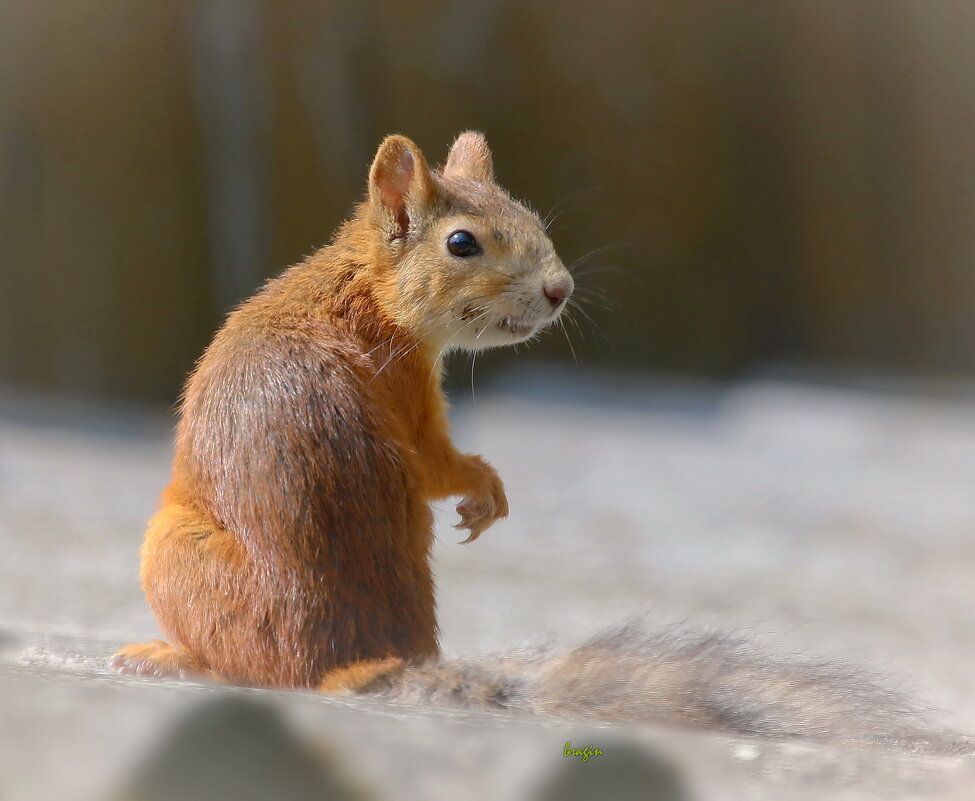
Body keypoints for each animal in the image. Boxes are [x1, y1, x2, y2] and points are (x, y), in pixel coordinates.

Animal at [114, 133, 936, 744]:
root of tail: (359, 659)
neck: (360, 293)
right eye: (461, 242)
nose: (559, 290)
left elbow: (435, 462)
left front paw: (484, 491)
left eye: (532, 216)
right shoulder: (404, 378)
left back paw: (173, 656)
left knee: (252, 672)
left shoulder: (408, 386)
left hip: (165, 548)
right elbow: (430, 463)